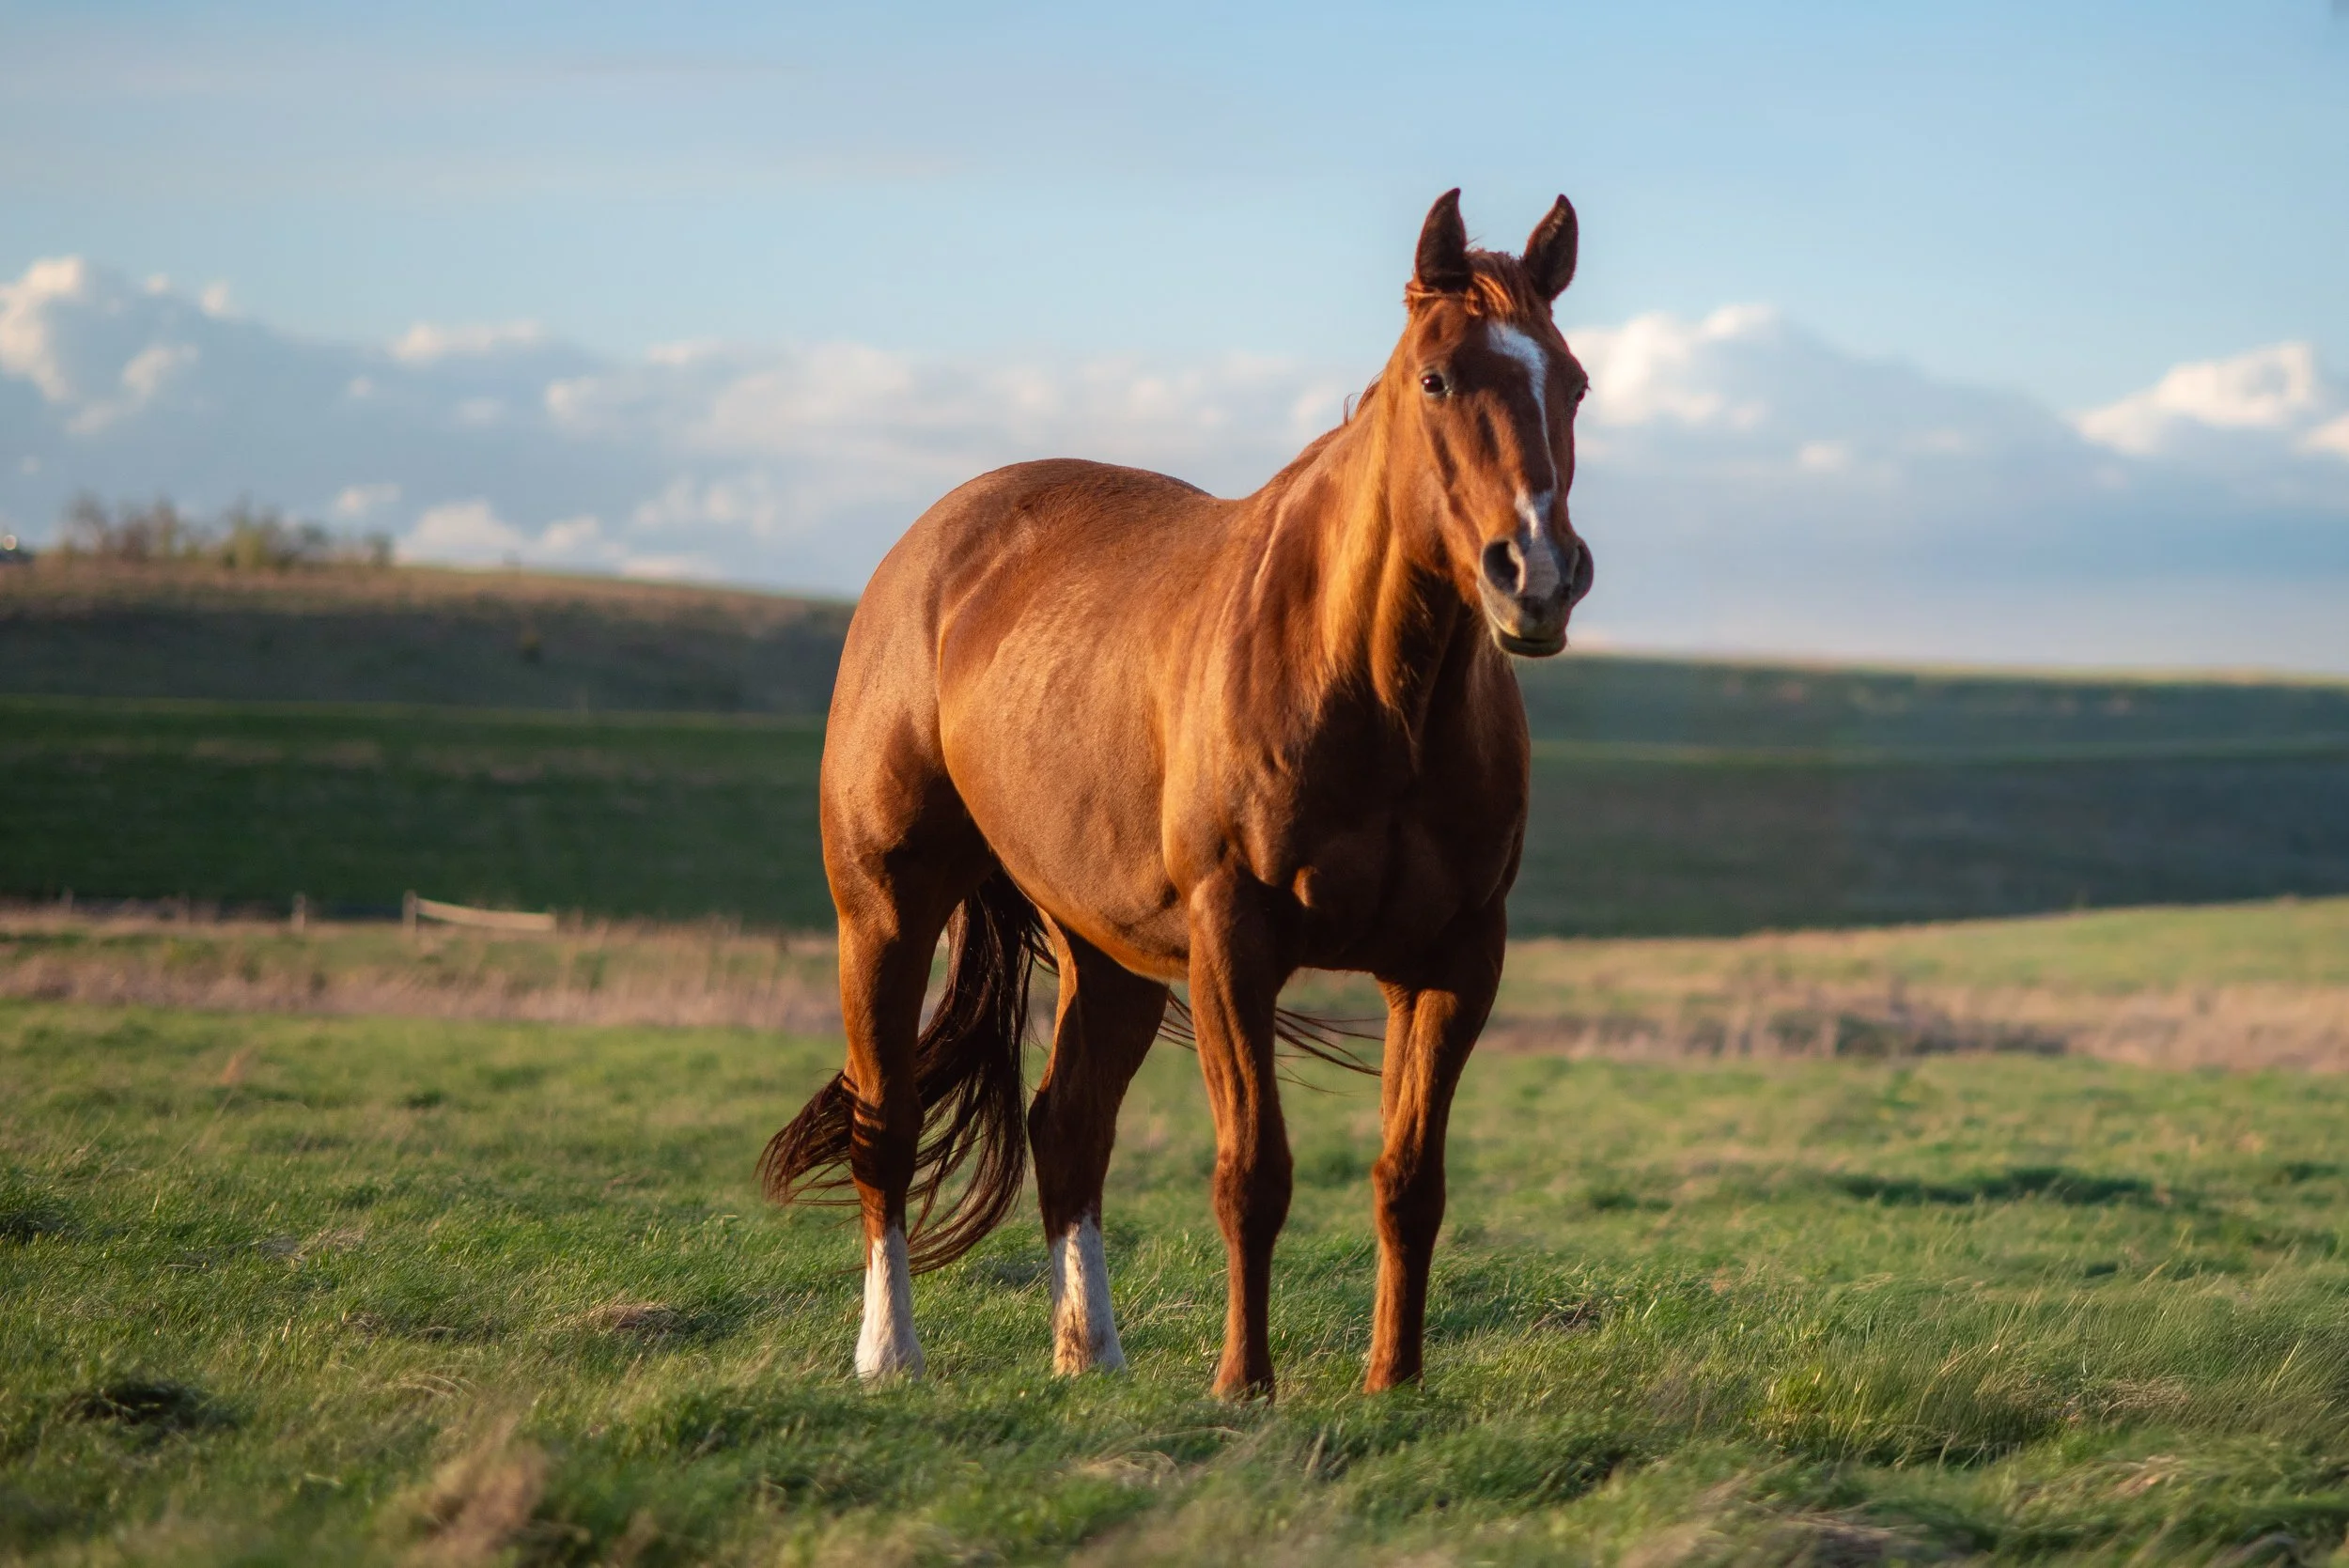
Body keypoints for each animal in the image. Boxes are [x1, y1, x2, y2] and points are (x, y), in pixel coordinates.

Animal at [763, 188, 1594, 1399]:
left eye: (1571, 382)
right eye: (1438, 378)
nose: (1535, 574)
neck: (1370, 688)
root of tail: (930, 548)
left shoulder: (1452, 961)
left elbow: (1408, 1181)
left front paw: (1392, 1383)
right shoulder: (1232, 943)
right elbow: (1253, 1172)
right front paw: (1242, 1383)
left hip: (1101, 947)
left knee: (1065, 1128)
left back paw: (1090, 1354)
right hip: (884, 909)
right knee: (890, 1120)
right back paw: (891, 1354)